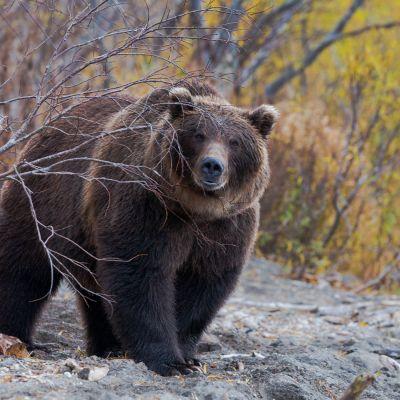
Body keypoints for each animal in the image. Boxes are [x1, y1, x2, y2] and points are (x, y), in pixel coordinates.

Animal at [0, 80, 278, 376]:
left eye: (234, 141)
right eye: (199, 134)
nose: (212, 165)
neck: (194, 209)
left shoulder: (226, 228)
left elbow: (203, 284)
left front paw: (186, 356)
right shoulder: (146, 207)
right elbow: (141, 275)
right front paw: (168, 360)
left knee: (95, 292)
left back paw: (109, 346)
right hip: (43, 202)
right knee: (25, 268)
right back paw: (19, 339)